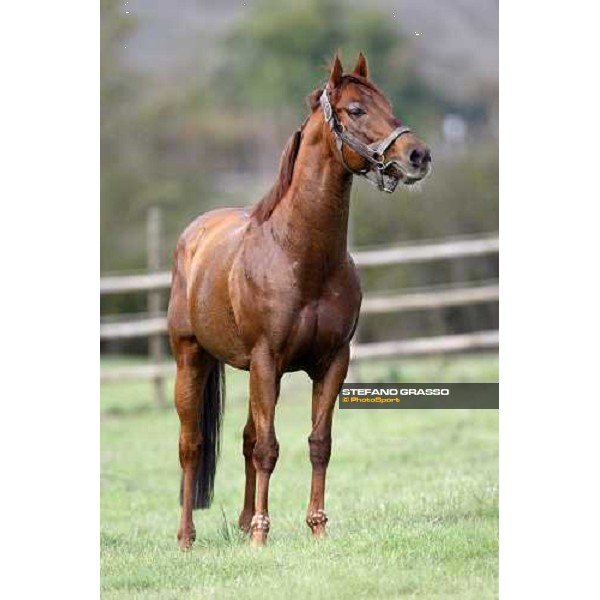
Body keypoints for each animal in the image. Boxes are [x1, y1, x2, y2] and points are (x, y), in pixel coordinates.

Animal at [168, 54, 432, 548]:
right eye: (355, 110)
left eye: (388, 104)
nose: (418, 156)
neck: (300, 255)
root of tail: (194, 235)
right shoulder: (267, 360)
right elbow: (269, 449)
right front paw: (261, 534)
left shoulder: (332, 362)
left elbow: (317, 444)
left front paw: (316, 527)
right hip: (190, 359)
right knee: (192, 446)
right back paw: (188, 538)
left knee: (245, 438)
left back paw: (241, 522)